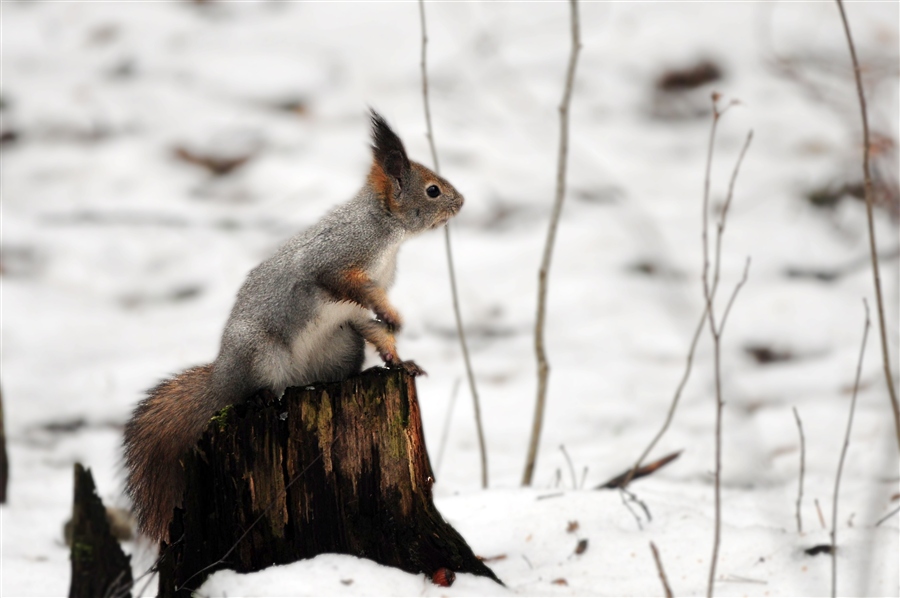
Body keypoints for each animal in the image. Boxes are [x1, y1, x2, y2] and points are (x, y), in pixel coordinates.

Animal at [123, 110, 464, 548]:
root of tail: (222, 380)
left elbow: (372, 327)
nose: (461, 202)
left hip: (341, 346)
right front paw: (393, 316)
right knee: (258, 389)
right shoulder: (336, 262)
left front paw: (399, 359)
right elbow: (354, 287)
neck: (386, 231)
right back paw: (269, 399)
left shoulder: (353, 314)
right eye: (433, 191)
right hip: (261, 353)